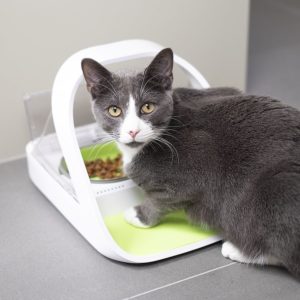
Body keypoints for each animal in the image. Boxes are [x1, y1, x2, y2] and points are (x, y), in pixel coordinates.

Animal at [81, 48, 298, 276]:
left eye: (148, 107)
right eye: (114, 110)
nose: (133, 131)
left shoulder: (191, 173)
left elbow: (159, 200)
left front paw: (138, 215)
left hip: (276, 189)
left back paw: (238, 250)